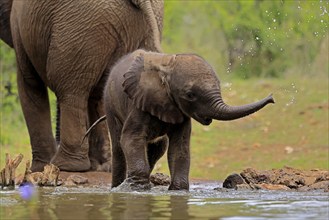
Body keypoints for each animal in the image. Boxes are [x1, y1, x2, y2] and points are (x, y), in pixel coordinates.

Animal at [0, 0, 163, 172]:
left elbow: (29, 83)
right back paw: (103, 167)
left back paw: (65, 166)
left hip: (82, 31)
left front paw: (39, 169)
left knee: (68, 90)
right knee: (99, 93)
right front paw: (98, 166)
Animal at [105, 49, 274, 190]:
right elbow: (131, 139)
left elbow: (180, 148)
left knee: (158, 147)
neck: (168, 65)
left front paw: (178, 191)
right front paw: (137, 189)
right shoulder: (139, 103)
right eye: (190, 95)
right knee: (119, 146)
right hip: (110, 106)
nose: (272, 98)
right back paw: (117, 187)